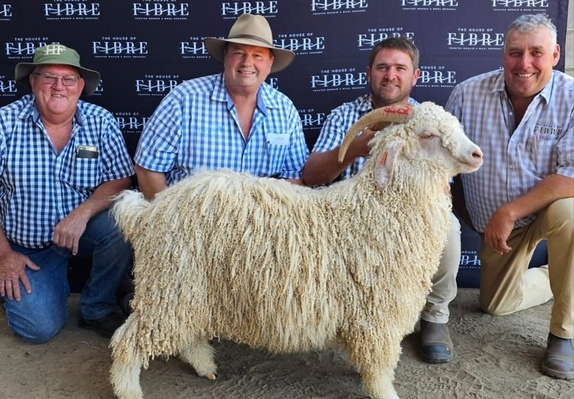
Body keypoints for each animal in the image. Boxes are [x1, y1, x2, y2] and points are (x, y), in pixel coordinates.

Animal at [109, 102, 486, 399]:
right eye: (428, 135)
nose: (476, 154)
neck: (375, 208)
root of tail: (147, 212)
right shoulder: (376, 316)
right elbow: (379, 368)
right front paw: (385, 393)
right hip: (169, 284)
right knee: (129, 340)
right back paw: (128, 390)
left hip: (188, 289)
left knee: (185, 334)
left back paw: (206, 366)